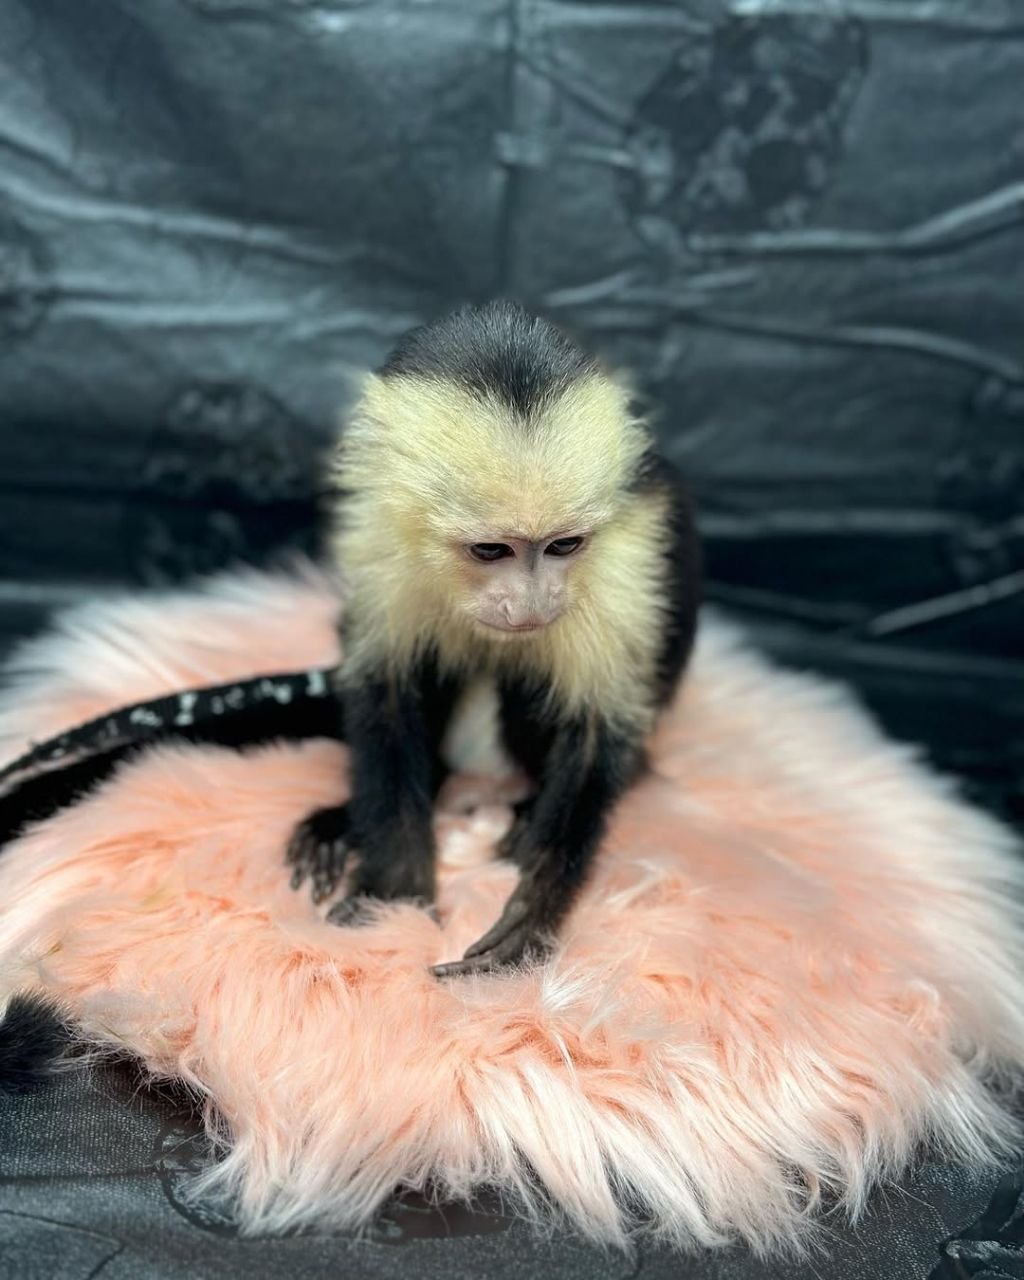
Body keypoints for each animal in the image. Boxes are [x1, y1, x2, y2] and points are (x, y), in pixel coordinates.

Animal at [0, 301, 700, 978]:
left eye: (564, 546)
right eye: (491, 551)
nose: (533, 601)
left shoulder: (627, 548)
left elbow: (597, 730)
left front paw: (533, 907)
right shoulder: (376, 527)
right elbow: (386, 691)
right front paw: (393, 900)